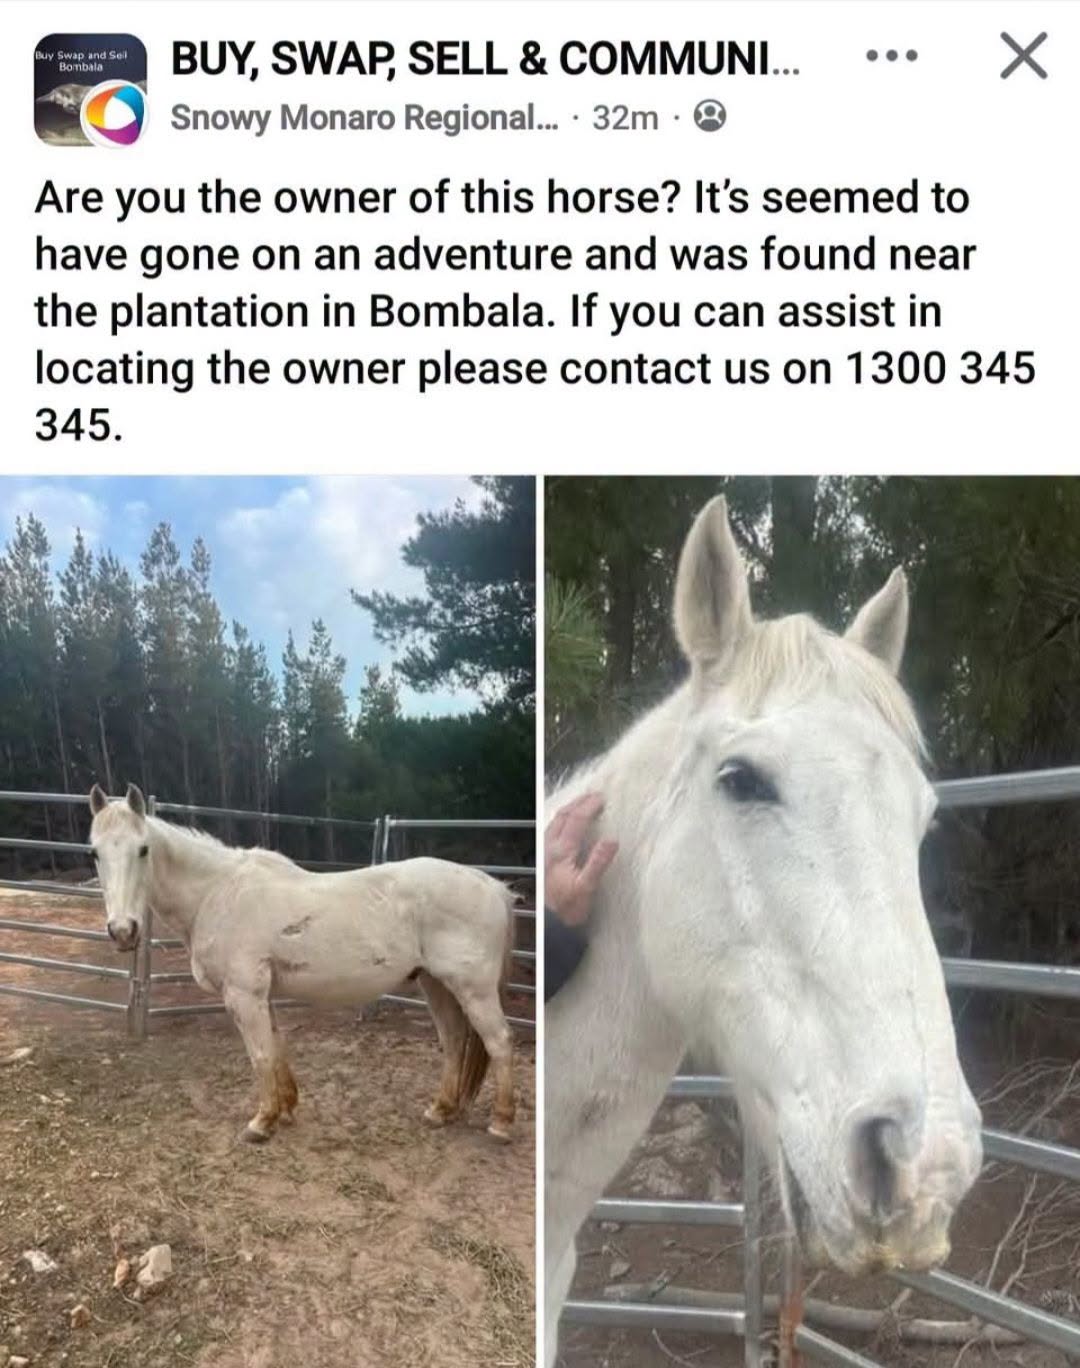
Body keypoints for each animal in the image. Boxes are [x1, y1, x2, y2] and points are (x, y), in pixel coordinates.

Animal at [88, 786, 516, 1144]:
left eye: (143, 849)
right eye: (95, 852)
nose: (123, 931)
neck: (217, 892)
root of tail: (493, 886)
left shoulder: (244, 995)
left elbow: (260, 1055)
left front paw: (261, 1123)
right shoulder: (262, 995)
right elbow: (276, 1049)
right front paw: (286, 1109)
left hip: (473, 989)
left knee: (498, 1041)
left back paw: (501, 1123)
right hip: (435, 983)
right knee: (454, 1041)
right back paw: (440, 1110)